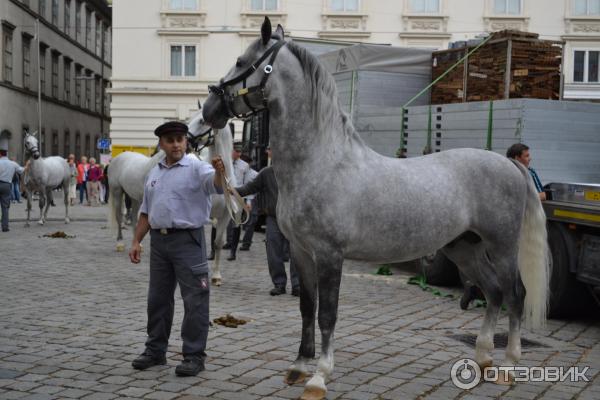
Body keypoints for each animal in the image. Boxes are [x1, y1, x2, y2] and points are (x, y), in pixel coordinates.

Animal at [204, 19, 552, 400]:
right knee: (493, 292)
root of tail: (509, 164)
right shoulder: (301, 251)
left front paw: (319, 377)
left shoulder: (330, 255)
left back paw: (508, 365)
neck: (322, 162)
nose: (209, 108)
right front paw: (298, 367)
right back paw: (483, 357)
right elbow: (307, 307)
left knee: (515, 295)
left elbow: (327, 314)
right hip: (465, 247)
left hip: (502, 246)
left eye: (241, 61)